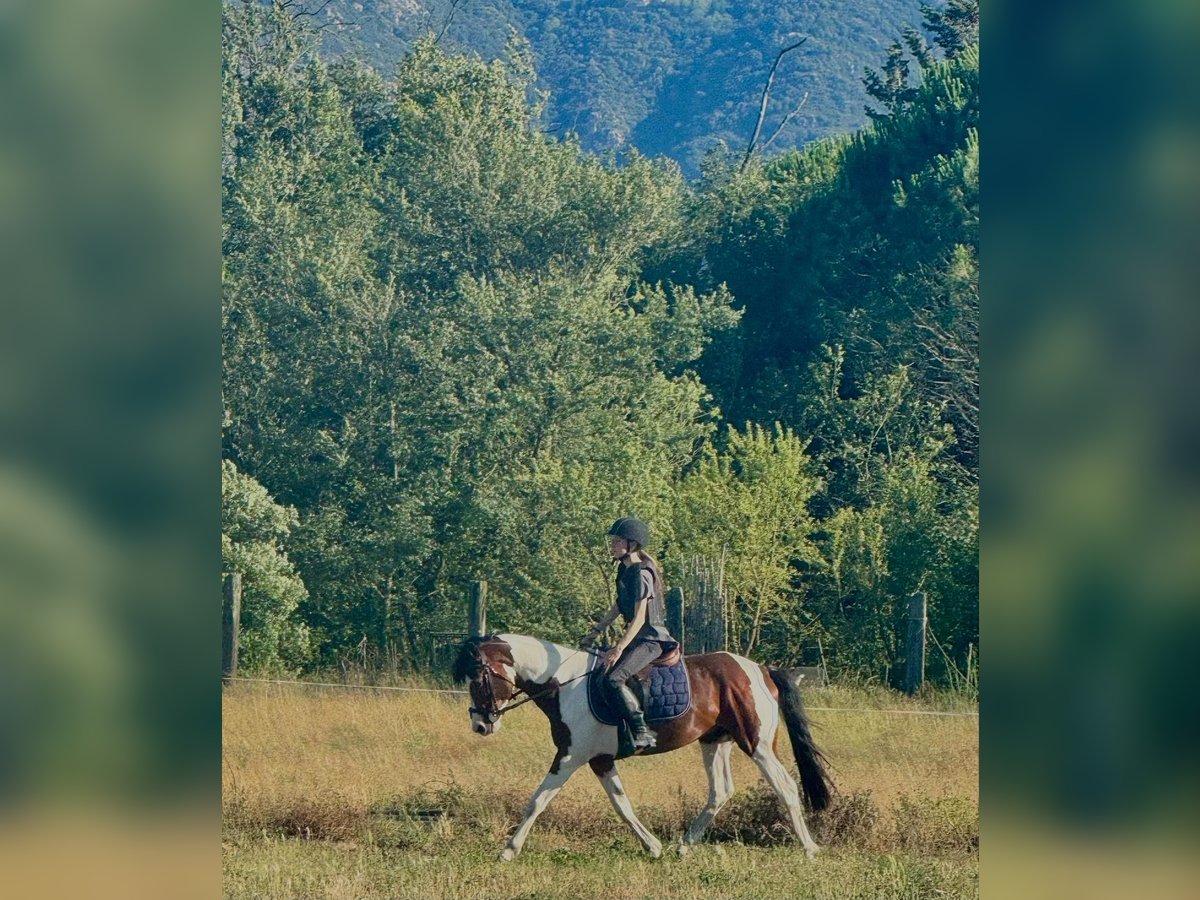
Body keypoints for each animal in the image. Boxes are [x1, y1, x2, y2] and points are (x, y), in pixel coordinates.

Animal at [451, 628, 835, 864]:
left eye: (478, 679)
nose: (480, 725)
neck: (563, 684)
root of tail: (761, 669)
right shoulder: (600, 759)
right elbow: (622, 805)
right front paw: (653, 846)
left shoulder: (570, 756)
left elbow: (537, 801)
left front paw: (508, 850)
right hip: (715, 741)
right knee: (721, 791)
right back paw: (684, 846)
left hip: (757, 743)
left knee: (785, 787)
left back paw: (810, 848)